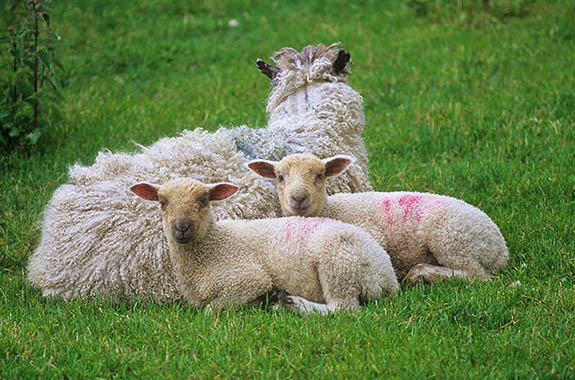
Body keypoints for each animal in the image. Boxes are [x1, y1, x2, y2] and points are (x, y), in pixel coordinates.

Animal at [27, 177, 398, 314]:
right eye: (161, 202)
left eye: (204, 200)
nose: (181, 228)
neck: (212, 250)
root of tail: (388, 274)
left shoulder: (246, 279)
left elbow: (209, 312)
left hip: (339, 262)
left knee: (344, 309)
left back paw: (292, 304)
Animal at [248, 154, 508, 282]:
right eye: (280, 176)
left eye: (320, 175)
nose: (299, 197)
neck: (331, 211)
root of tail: (501, 247)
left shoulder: (373, 235)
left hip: (452, 238)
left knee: (479, 276)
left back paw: (421, 273)